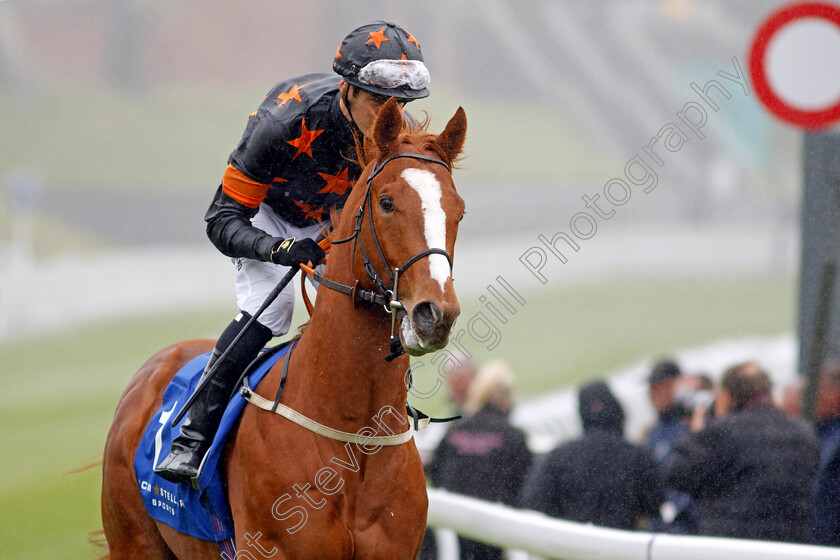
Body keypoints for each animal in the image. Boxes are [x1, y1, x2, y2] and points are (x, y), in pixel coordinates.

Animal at [102, 98, 470, 556]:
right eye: (387, 202)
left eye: (458, 210)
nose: (435, 314)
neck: (354, 437)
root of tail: (152, 369)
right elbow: (225, 214)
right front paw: (297, 250)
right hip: (133, 540)